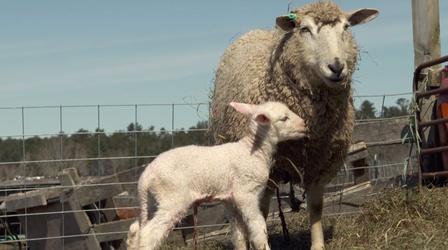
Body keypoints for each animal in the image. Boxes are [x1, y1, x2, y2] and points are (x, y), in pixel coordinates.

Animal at [128, 101, 306, 250]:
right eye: (284, 118)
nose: (304, 125)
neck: (253, 151)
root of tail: (146, 174)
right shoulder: (246, 194)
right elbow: (258, 227)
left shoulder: (231, 199)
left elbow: (239, 235)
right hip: (171, 199)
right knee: (148, 235)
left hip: (154, 201)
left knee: (136, 232)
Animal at [210, 1, 378, 250]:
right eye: (305, 29)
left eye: (346, 27)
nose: (336, 67)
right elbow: (257, 215)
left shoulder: (320, 163)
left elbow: (316, 207)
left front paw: (317, 245)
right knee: (238, 218)